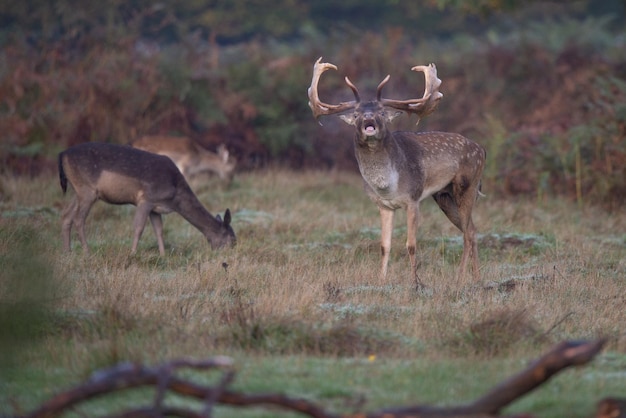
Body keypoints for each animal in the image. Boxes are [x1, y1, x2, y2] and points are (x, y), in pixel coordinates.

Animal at [58, 142, 235, 256]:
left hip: (77, 191)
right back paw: (87, 252)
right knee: (79, 218)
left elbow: (159, 230)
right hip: (87, 190)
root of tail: (62, 155)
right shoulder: (146, 199)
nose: (232, 255)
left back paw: (67, 252)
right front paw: (132, 254)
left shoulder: (155, 207)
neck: (175, 196)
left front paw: (163, 256)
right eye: (232, 239)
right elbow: (138, 228)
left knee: (66, 215)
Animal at [308, 57, 482, 286]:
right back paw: (476, 276)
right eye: (356, 114)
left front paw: (415, 282)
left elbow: (411, 244)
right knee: (471, 229)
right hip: (443, 196)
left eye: (382, 112)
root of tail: (482, 150)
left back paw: (460, 278)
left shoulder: (413, 199)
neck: (387, 186)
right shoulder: (383, 205)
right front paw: (381, 280)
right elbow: (384, 246)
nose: (369, 120)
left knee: (467, 233)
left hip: (467, 185)